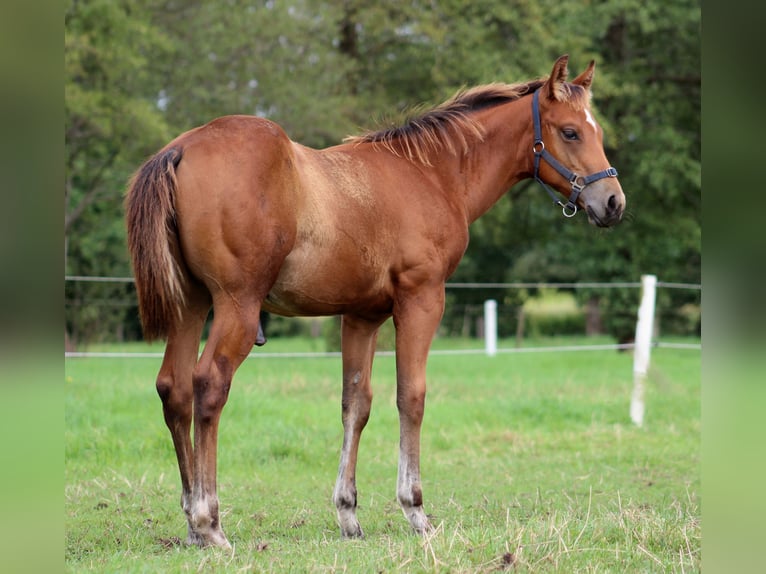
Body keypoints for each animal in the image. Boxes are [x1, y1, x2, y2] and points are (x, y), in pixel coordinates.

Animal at [126, 56, 628, 552]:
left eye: (597, 131)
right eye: (570, 132)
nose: (613, 202)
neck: (432, 174)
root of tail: (181, 149)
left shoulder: (361, 315)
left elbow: (356, 404)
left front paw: (348, 515)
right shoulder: (422, 299)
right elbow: (411, 396)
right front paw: (416, 511)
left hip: (190, 305)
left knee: (175, 389)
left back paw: (192, 525)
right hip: (237, 307)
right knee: (209, 385)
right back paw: (210, 523)